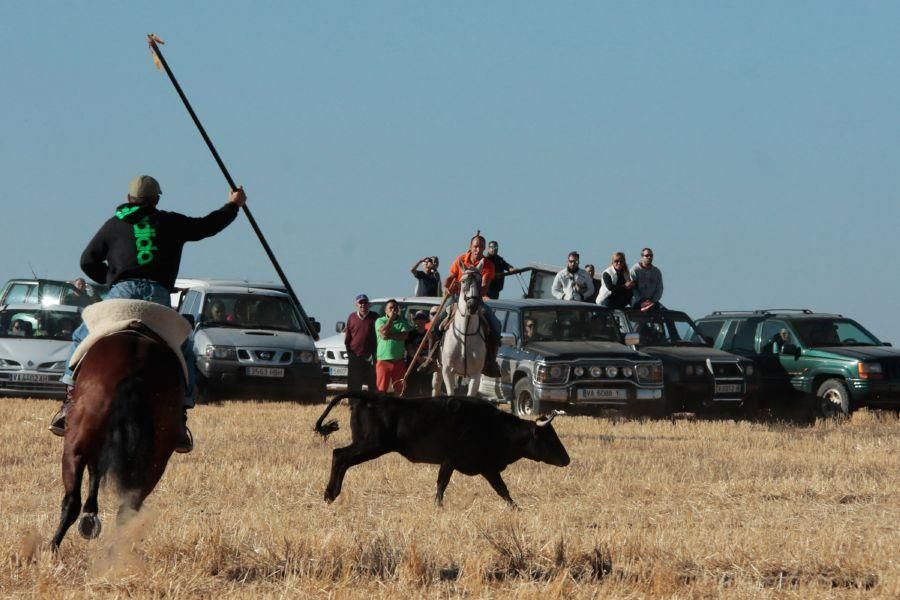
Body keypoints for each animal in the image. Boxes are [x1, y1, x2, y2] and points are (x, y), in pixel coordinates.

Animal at [50, 330, 184, 552]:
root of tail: (135, 371)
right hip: (156, 460)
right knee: (127, 509)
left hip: (74, 448)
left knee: (71, 501)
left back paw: (52, 546)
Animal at [316, 390, 568, 506]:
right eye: (549, 438)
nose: (567, 459)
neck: (493, 426)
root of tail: (368, 395)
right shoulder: (458, 461)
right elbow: (443, 484)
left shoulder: (483, 467)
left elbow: (502, 489)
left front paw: (515, 507)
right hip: (371, 445)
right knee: (340, 456)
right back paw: (330, 494)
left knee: (342, 458)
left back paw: (332, 494)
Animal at [442, 264, 488, 396]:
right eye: (463, 281)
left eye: (480, 281)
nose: (472, 305)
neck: (465, 335)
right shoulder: (447, 370)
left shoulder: (476, 374)